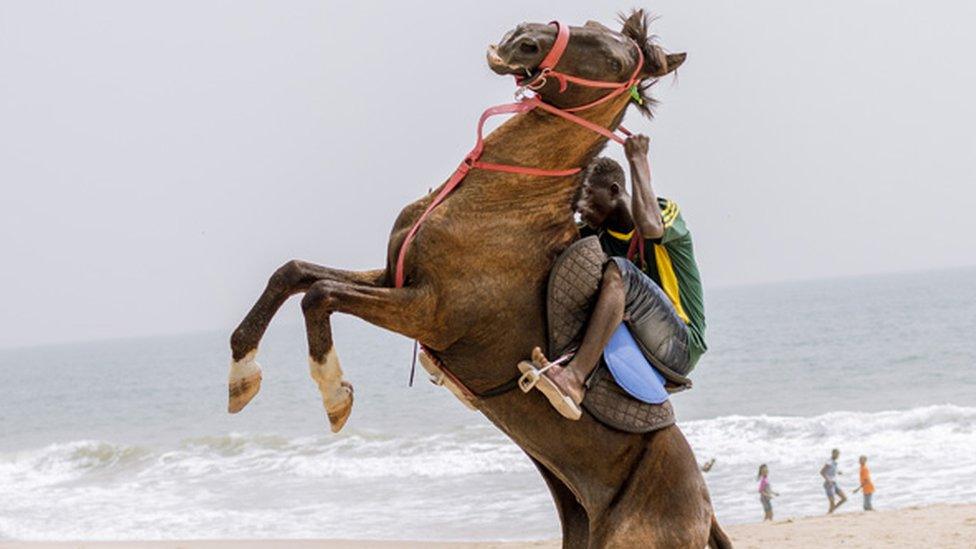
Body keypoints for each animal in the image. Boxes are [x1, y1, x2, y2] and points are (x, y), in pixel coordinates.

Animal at [229, 10, 732, 544]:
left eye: (617, 62)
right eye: (591, 23)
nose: (524, 40)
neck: (502, 201)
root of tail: (705, 510)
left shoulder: (427, 310)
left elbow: (320, 294)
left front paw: (335, 395)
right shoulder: (393, 276)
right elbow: (293, 274)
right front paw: (241, 374)